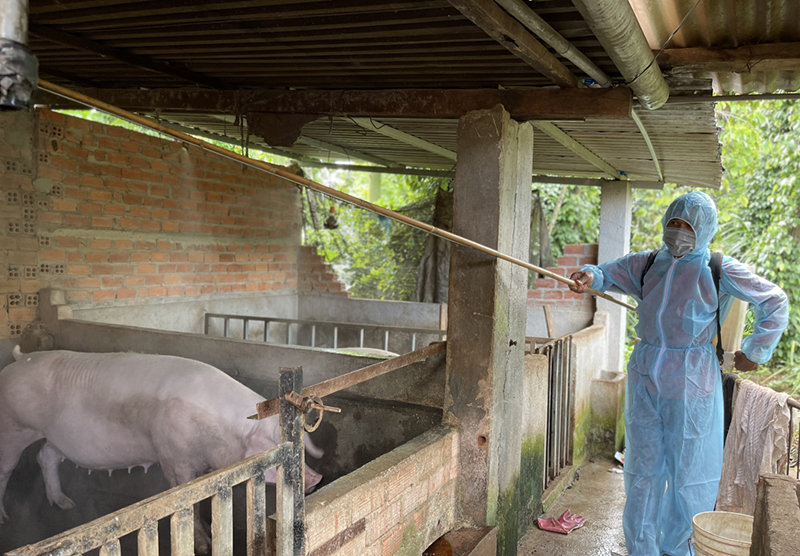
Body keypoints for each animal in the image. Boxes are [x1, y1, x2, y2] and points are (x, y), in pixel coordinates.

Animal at [1, 348, 324, 552]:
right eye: (270, 442)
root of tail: (18, 359)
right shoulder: (174, 460)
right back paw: (5, 518)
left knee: (46, 456)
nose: (317, 478)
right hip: (13, 427)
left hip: (57, 438)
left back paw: (66, 504)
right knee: (6, 467)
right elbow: (186, 500)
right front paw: (203, 545)